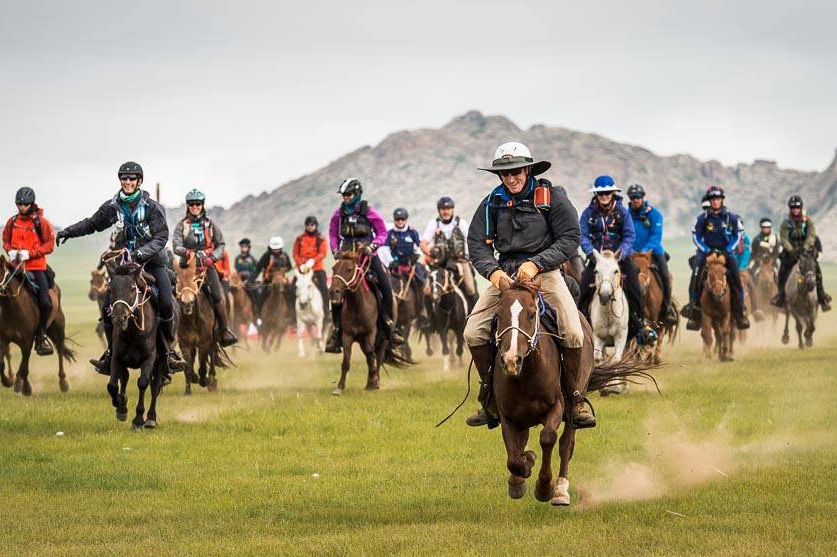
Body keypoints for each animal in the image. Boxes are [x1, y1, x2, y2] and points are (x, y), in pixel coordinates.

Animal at [0, 254, 74, 394]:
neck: (13, 308)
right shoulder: (4, 340)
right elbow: (3, 363)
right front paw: (8, 381)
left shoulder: (27, 342)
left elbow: (24, 367)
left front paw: (21, 386)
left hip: (57, 329)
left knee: (60, 350)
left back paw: (63, 383)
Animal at [108, 256, 165, 430]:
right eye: (110, 289)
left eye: (133, 288)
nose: (120, 318)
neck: (133, 332)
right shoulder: (117, 357)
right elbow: (113, 385)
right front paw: (120, 406)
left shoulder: (149, 358)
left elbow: (143, 383)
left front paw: (138, 419)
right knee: (125, 378)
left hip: (160, 361)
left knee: (154, 387)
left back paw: (151, 418)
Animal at [326, 252, 408, 396]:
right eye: (333, 268)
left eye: (349, 269)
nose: (333, 292)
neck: (357, 306)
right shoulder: (347, 336)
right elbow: (346, 362)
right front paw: (339, 387)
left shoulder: (370, 333)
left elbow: (371, 356)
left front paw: (374, 380)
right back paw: (369, 383)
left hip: (383, 340)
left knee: (378, 358)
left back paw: (375, 381)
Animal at [490, 276, 660, 504]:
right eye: (499, 315)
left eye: (532, 314)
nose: (511, 360)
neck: (526, 377)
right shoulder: (508, 415)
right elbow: (514, 457)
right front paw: (523, 471)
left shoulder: (557, 407)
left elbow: (548, 438)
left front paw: (544, 486)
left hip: (573, 407)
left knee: (566, 445)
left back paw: (560, 491)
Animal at [588, 250, 628, 394]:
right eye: (596, 271)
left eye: (616, 270)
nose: (605, 295)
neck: (609, 314)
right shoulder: (598, 337)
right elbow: (597, 357)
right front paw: (604, 387)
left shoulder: (621, 337)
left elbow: (616, 360)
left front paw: (615, 387)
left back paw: (625, 386)